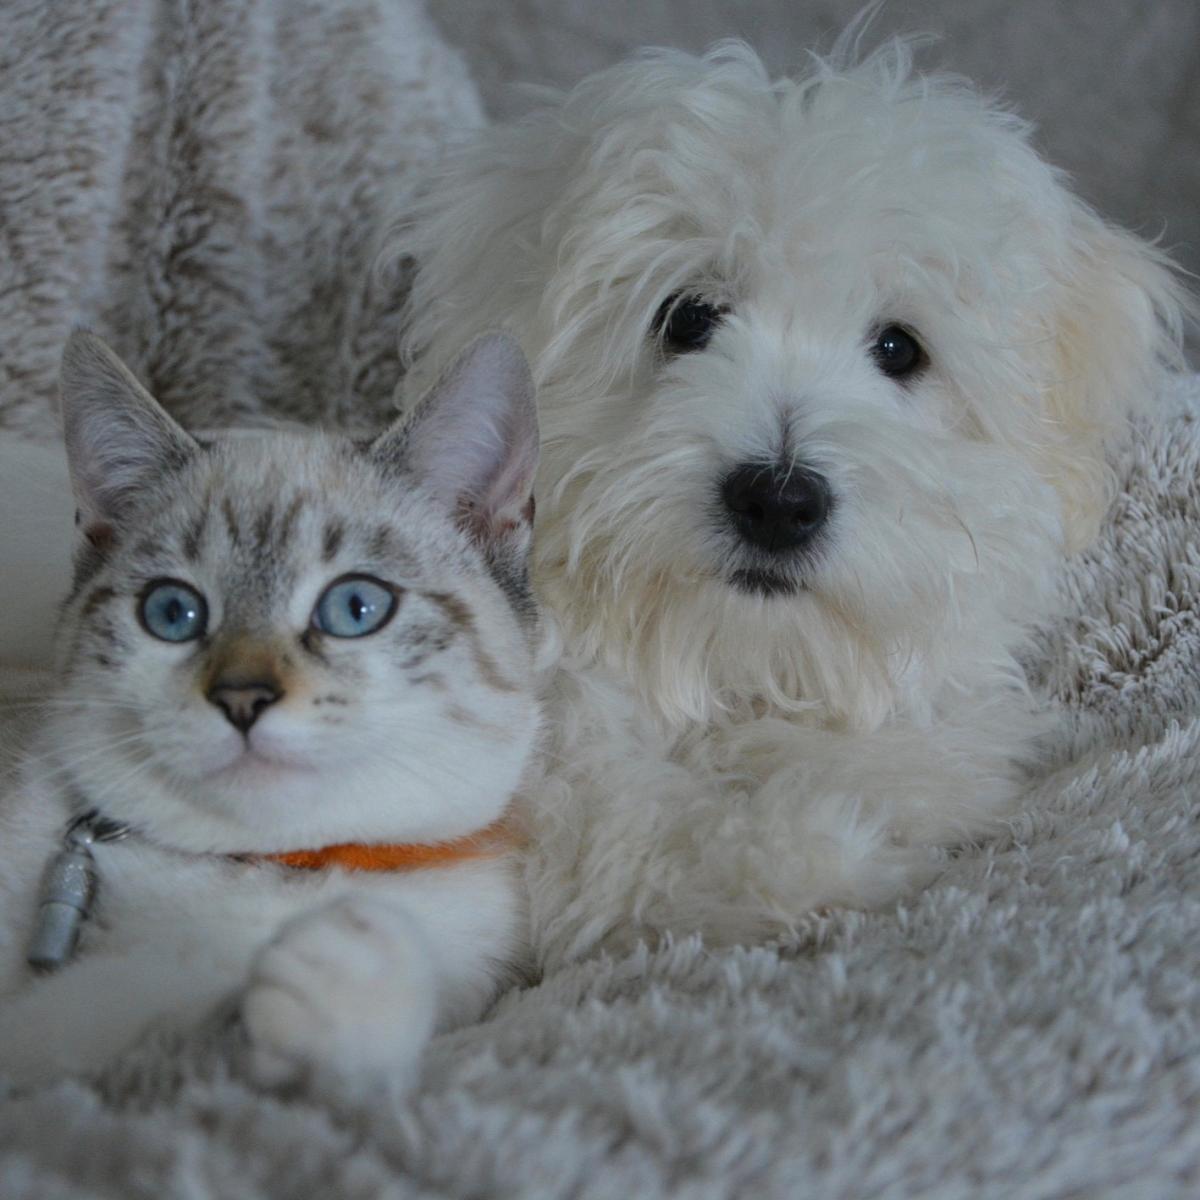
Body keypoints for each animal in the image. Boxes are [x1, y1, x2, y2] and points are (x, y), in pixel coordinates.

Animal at [393, 35, 1190, 964]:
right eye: (688, 318)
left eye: (899, 349)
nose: (778, 502)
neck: (738, 670)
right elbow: (643, 843)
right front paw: (820, 849)